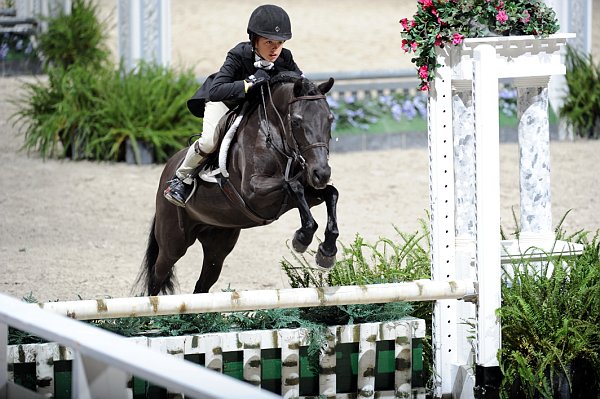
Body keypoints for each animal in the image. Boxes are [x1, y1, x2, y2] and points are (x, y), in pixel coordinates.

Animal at [138, 75, 340, 296]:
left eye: (330, 119)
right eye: (296, 121)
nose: (321, 173)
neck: (273, 135)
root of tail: (167, 173)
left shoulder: (304, 195)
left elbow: (331, 193)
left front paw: (327, 252)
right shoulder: (254, 193)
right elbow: (293, 185)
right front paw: (302, 238)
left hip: (217, 244)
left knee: (202, 284)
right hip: (174, 242)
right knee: (157, 276)